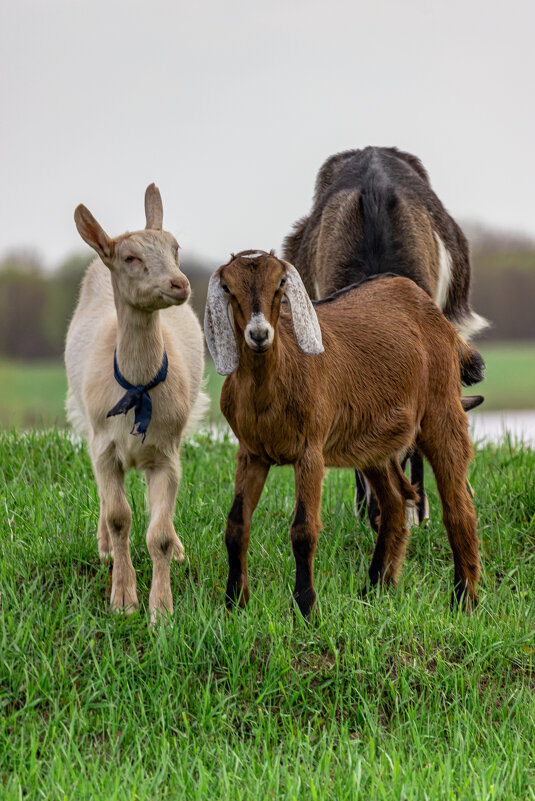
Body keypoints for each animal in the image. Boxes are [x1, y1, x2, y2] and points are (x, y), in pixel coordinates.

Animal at [65, 184, 207, 620]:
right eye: (130, 258)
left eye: (175, 249)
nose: (179, 283)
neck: (138, 387)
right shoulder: (105, 446)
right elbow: (117, 517)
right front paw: (124, 600)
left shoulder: (166, 451)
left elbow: (156, 533)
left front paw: (161, 610)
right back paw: (104, 549)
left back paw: (177, 549)